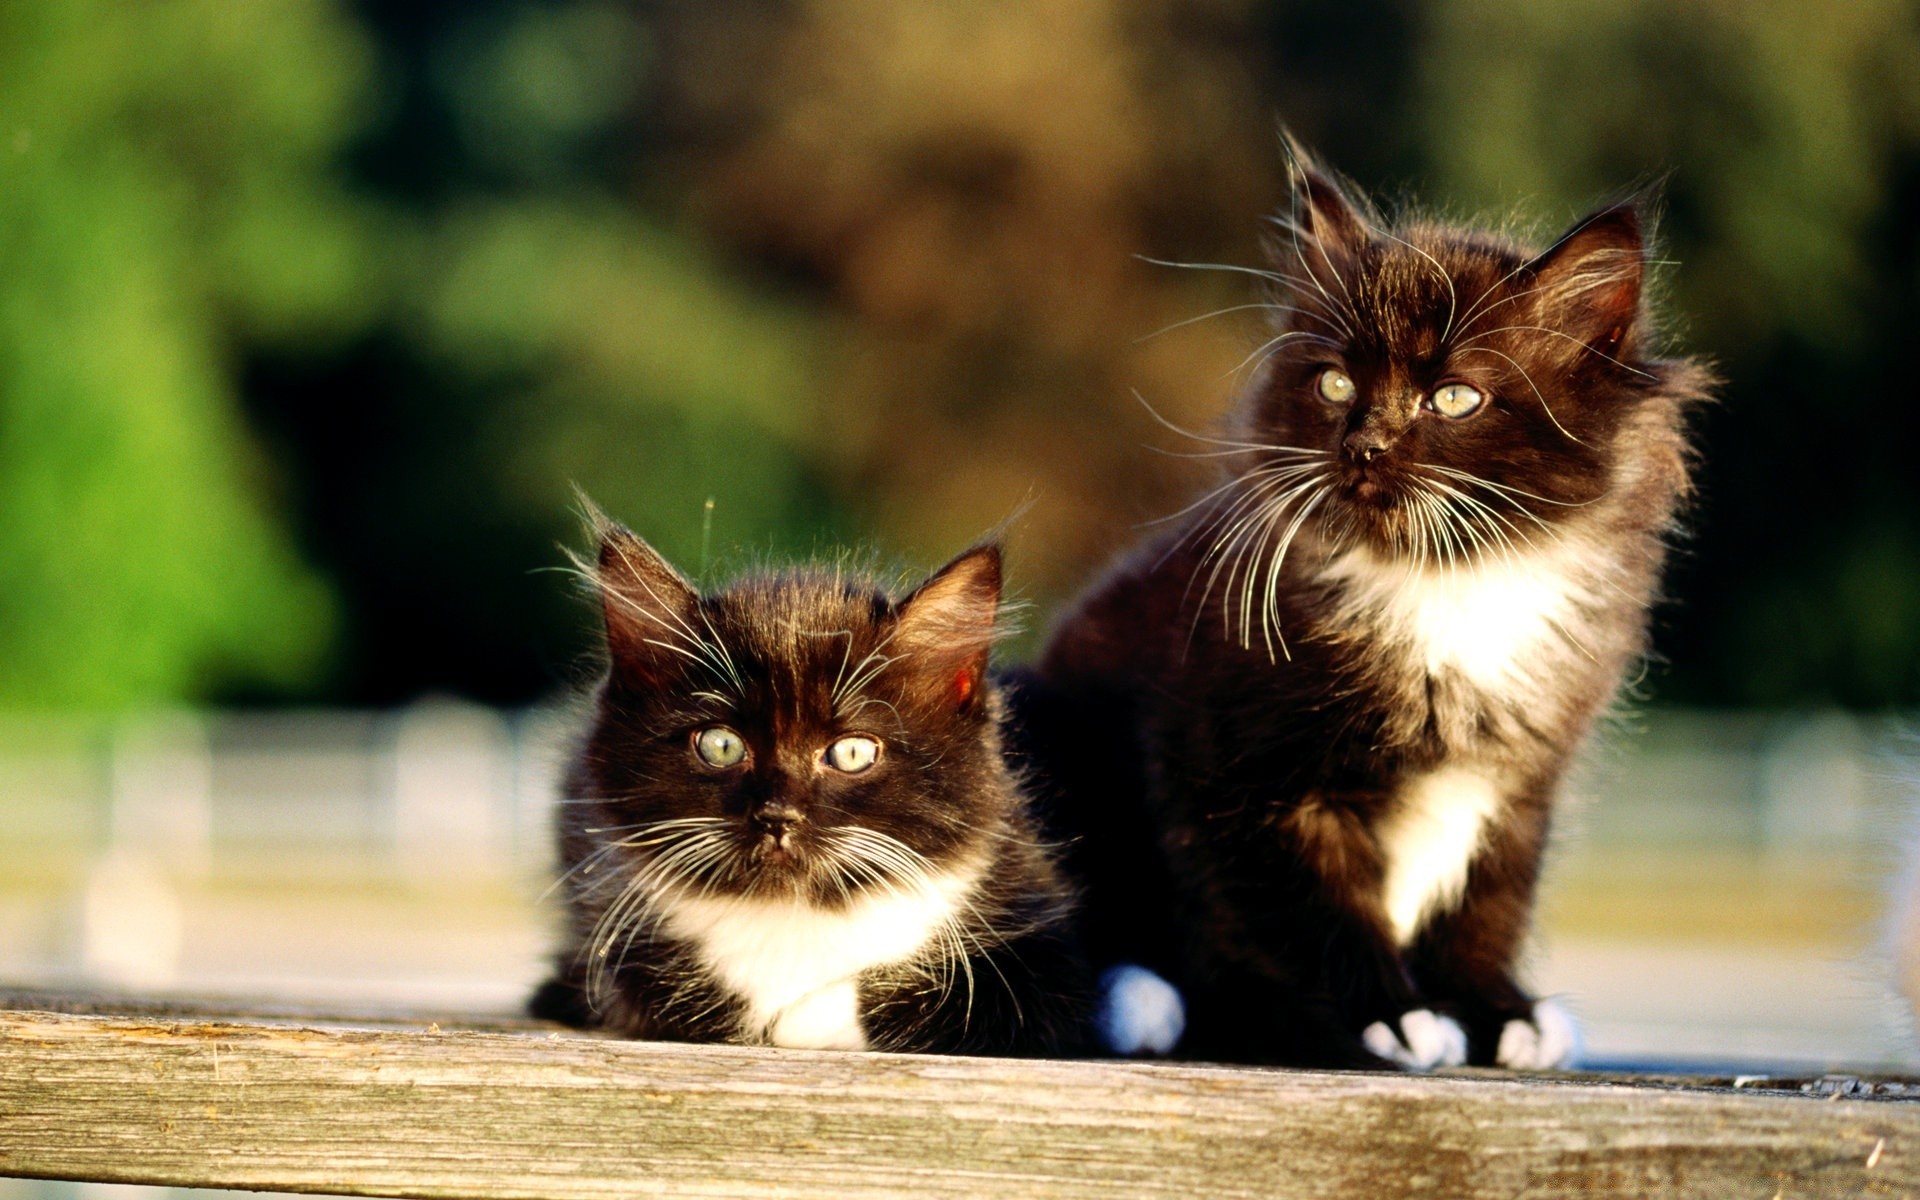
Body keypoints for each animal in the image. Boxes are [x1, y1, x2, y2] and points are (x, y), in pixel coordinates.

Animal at [1006, 149, 1712, 1067]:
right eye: (1336, 384)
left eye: (1453, 399)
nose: (1363, 445)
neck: (1445, 588)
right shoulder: (1244, 773)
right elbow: (1312, 911)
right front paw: (1385, 1015)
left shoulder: (1518, 785)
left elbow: (1488, 906)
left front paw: (1499, 1012)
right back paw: (1142, 998)